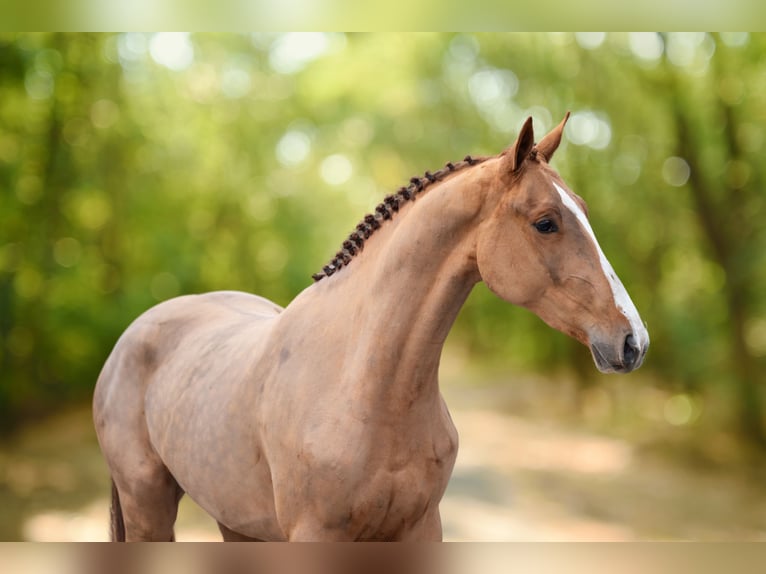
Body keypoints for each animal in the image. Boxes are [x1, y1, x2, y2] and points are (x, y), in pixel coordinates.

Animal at [93, 115, 652, 544]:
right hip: (149, 511)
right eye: (545, 222)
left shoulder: (419, 529)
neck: (363, 385)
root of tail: (130, 338)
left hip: (237, 523)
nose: (633, 342)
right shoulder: (316, 537)